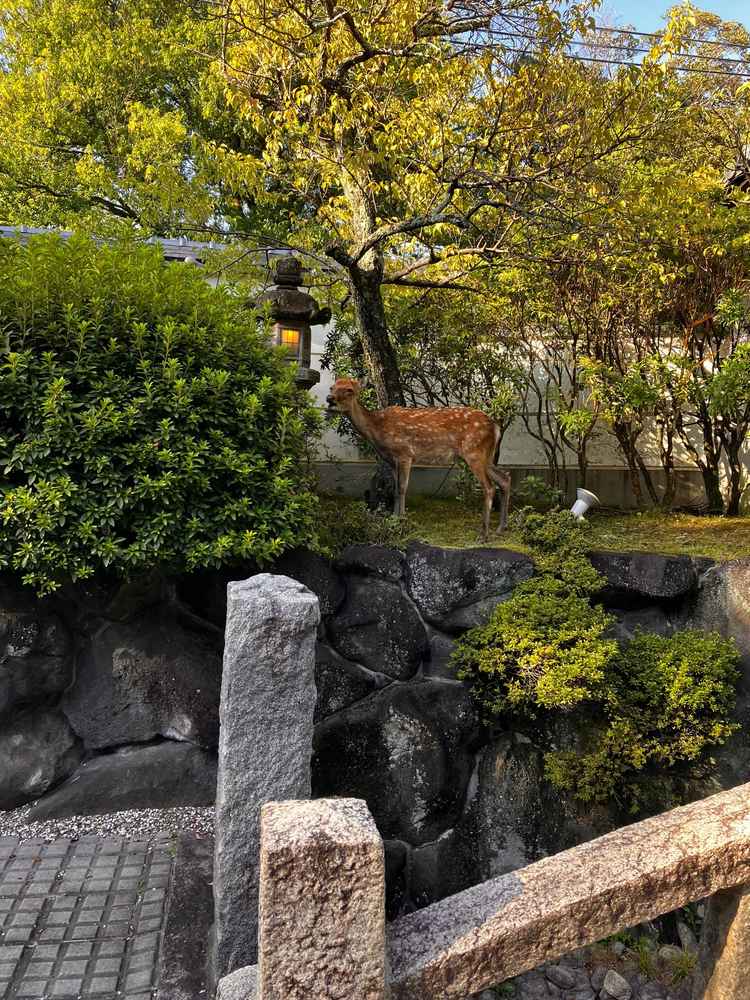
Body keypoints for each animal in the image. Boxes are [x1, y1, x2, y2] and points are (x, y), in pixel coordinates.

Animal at [326, 378, 511, 540]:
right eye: (332, 387)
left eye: (349, 390)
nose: (330, 399)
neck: (377, 430)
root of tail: (496, 427)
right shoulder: (391, 460)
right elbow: (395, 489)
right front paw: (393, 519)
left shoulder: (405, 453)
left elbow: (402, 488)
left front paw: (401, 520)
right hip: (484, 456)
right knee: (504, 478)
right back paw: (500, 529)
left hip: (474, 451)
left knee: (489, 487)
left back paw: (483, 534)